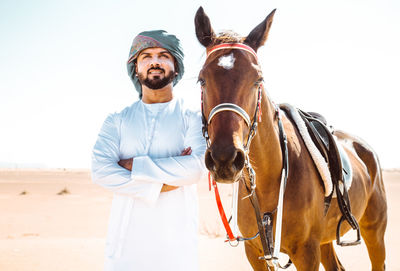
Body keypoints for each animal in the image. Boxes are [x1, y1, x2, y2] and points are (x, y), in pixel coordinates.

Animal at [195, 6, 388, 271]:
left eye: (258, 79)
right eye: (201, 79)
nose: (224, 158)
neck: (269, 182)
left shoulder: (306, 253)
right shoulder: (255, 253)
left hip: (374, 232)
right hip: (325, 241)